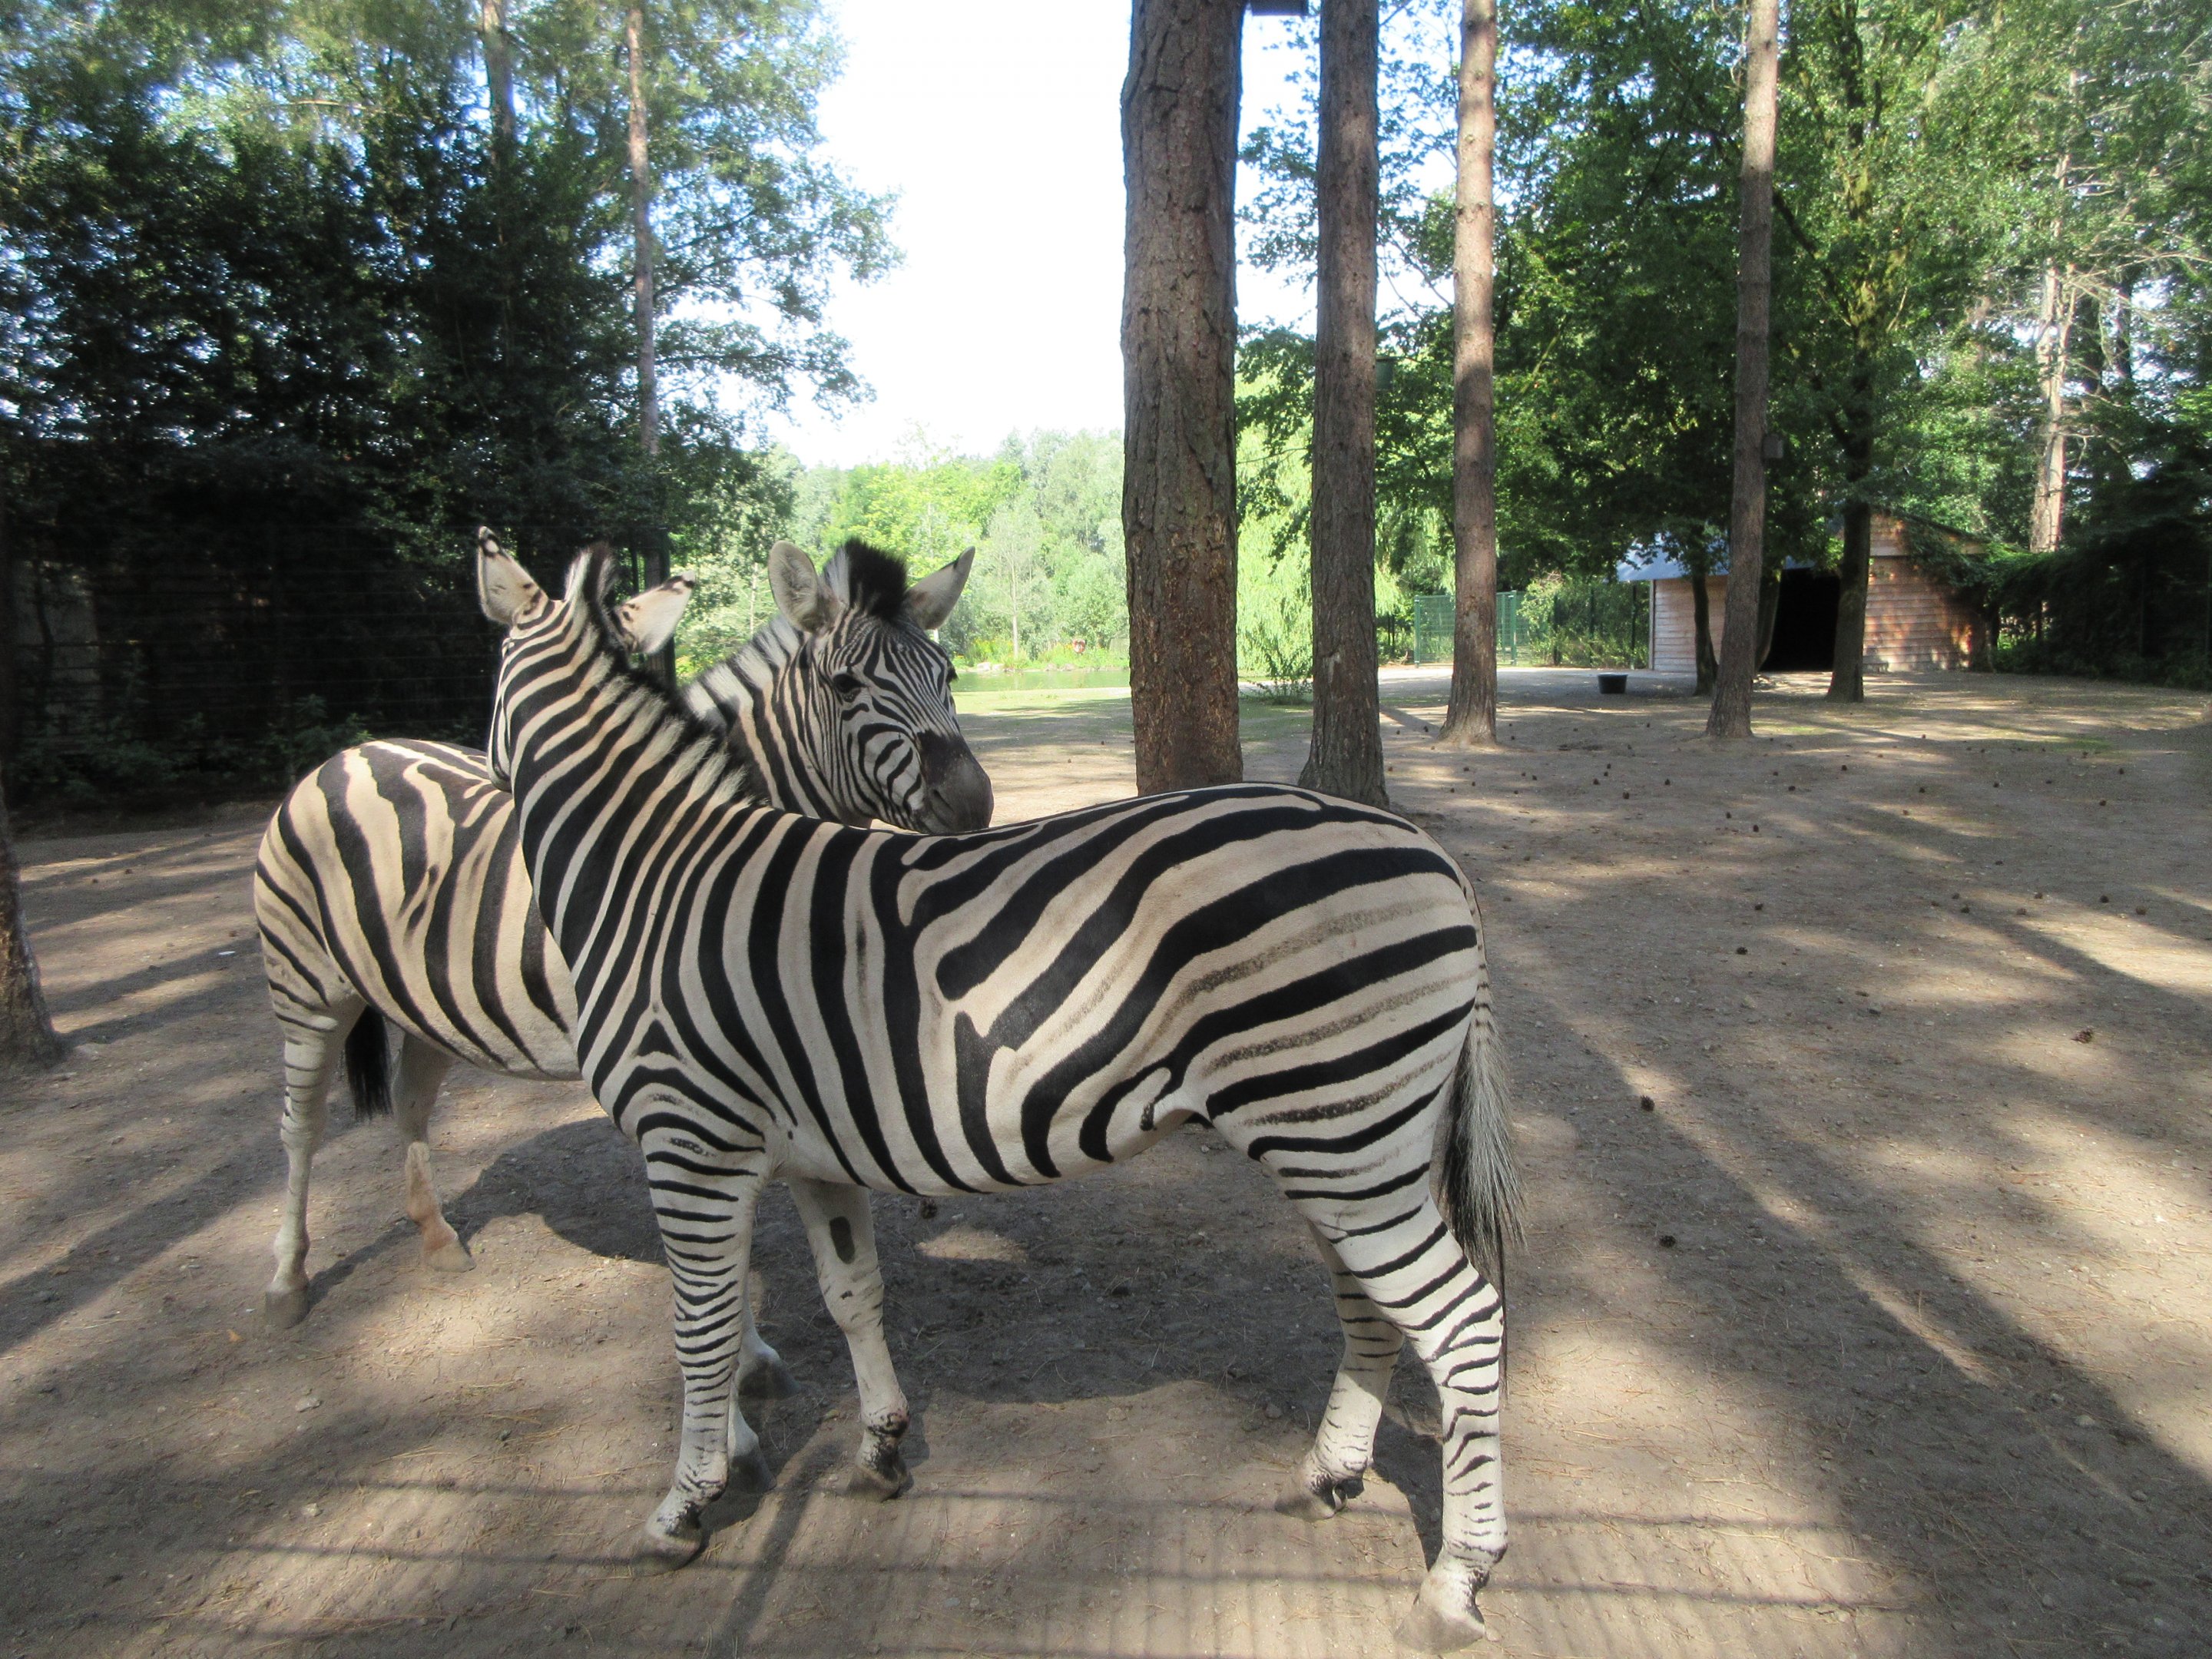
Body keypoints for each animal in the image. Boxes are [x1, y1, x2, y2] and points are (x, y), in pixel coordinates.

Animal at [254, 541, 990, 1378]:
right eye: (845, 687)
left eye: (949, 674)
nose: (974, 803)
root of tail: (351, 752)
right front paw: (743, 1357)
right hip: (306, 985)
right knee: (300, 1126)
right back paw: (286, 1283)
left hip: (425, 999)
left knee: (409, 1105)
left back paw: (437, 1240)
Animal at [474, 535, 1521, 1651]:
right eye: (843, 686)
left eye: (946, 676)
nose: (970, 811)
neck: (655, 874)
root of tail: (1434, 855)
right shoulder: (808, 1151)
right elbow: (852, 1293)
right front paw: (879, 1451)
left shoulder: (690, 1145)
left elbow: (701, 1334)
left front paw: (684, 1505)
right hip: (1351, 1142)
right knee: (1376, 1303)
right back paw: (1328, 1477)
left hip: (1343, 1137)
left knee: (1464, 1322)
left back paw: (1457, 1578)